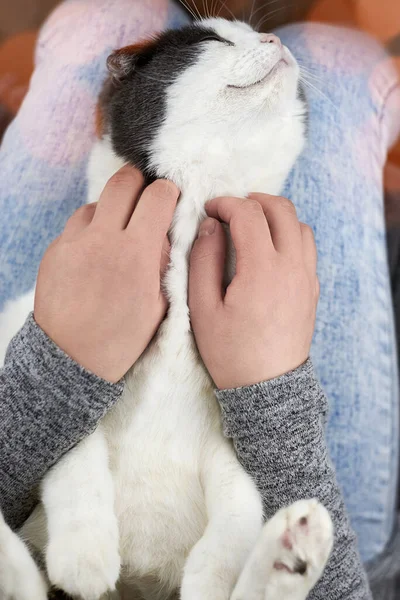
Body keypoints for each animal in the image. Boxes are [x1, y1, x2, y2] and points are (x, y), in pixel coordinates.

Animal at [0, 17, 334, 600]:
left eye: (255, 33)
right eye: (213, 41)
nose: (275, 41)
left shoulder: (232, 440)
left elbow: (242, 504)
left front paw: (216, 570)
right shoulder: (73, 380)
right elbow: (75, 456)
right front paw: (84, 552)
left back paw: (290, 552)